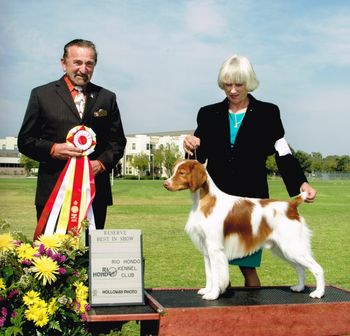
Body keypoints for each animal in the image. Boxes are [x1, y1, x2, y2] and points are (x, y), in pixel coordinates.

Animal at [164, 159, 326, 300]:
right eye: (173, 170)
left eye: (182, 173)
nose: (165, 183)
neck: (204, 201)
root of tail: (291, 205)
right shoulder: (206, 248)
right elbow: (209, 274)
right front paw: (207, 290)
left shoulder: (215, 248)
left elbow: (217, 275)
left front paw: (213, 294)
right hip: (283, 249)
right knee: (300, 268)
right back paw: (299, 287)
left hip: (293, 247)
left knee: (317, 268)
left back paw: (318, 293)